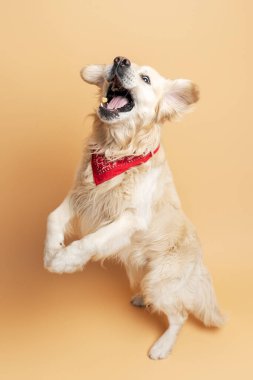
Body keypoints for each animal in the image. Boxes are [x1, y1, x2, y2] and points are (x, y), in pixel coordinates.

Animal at [44, 56, 225, 360]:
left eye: (146, 79)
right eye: (114, 62)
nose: (120, 60)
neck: (116, 150)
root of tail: (199, 262)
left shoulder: (131, 218)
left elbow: (90, 241)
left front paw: (64, 261)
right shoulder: (80, 195)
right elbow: (53, 218)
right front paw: (50, 251)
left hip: (159, 282)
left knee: (179, 315)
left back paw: (162, 347)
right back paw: (140, 298)